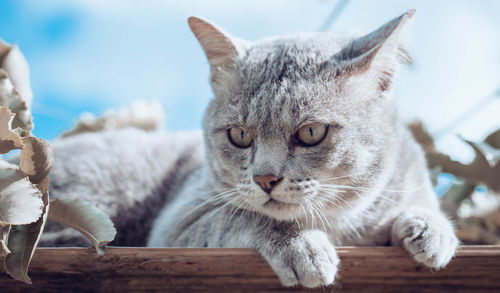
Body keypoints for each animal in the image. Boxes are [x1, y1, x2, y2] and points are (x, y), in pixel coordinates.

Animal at [41, 9, 458, 288]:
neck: (341, 226)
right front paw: (301, 247)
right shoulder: (178, 223)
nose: (265, 179)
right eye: (239, 135)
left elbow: (417, 209)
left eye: (311, 132)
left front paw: (430, 230)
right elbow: (247, 217)